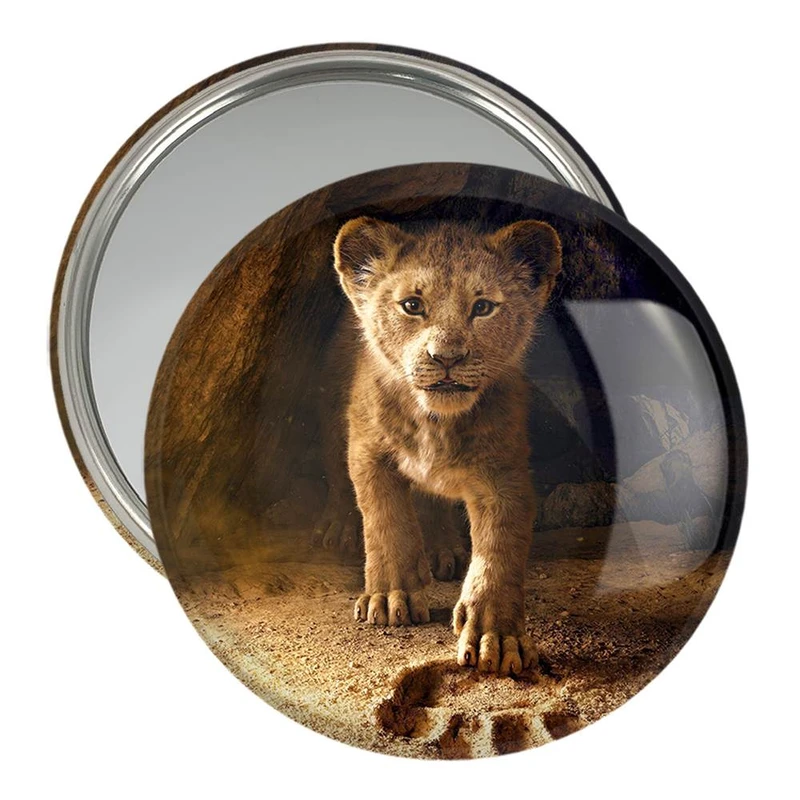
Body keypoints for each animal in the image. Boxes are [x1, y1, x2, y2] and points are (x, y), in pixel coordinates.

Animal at [329, 216, 562, 675]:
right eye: (412, 305)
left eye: (483, 307)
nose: (447, 357)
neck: (435, 422)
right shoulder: (367, 450)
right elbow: (386, 520)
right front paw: (391, 597)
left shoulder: (503, 473)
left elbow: (499, 550)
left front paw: (497, 636)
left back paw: (443, 551)